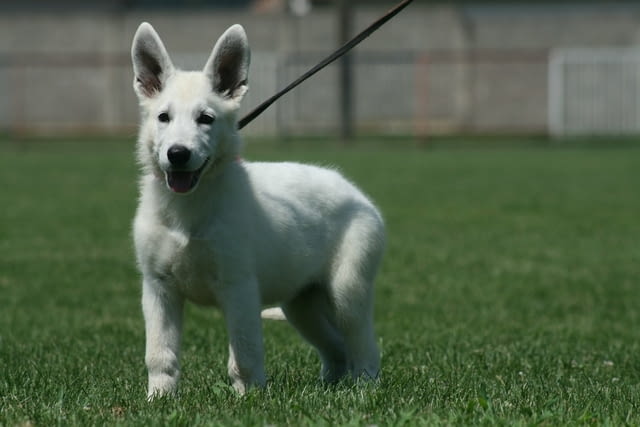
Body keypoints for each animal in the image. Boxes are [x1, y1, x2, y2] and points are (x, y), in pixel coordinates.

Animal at [130, 22, 384, 398]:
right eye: (163, 117)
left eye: (206, 119)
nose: (177, 154)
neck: (189, 209)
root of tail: (357, 194)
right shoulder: (158, 288)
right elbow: (160, 353)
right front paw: (159, 398)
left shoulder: (239, 289)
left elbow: (245, 353)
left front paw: (248, 397)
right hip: (302, 303)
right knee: (336, 347)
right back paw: (329, 386)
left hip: (347, 292)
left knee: (363, 344)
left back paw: (364, 388)